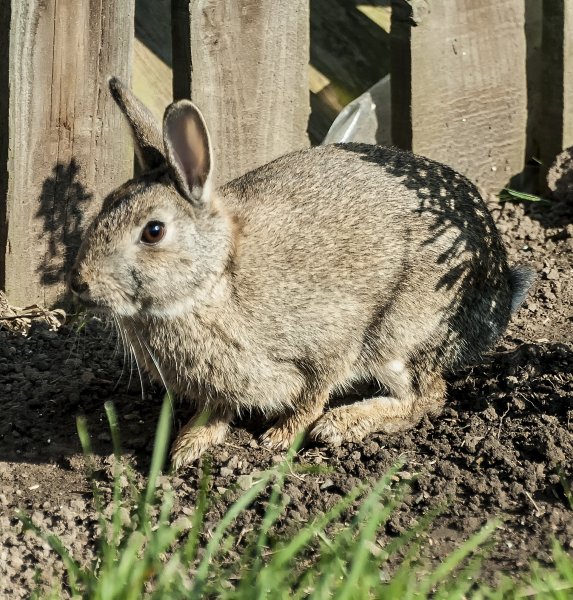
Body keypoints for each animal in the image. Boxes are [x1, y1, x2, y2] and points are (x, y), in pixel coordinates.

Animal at [69, 77, 536, 468]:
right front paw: (188, 445)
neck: (216, 278)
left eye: (153, 231)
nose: (79, 284)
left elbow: (313, 393)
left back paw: (342, 423)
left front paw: (280, 438)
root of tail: (499, 294)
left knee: (427, 397)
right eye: (104, 207)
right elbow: (216, 409)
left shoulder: (332, 338)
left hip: (398, 335)